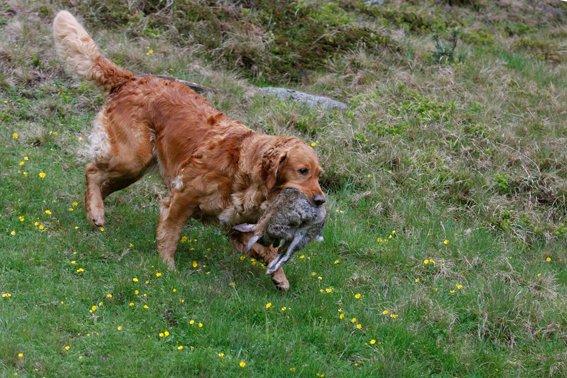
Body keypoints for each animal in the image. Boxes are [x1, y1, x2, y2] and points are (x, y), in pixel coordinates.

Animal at [53, 11, 328, 290]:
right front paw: (166, 266)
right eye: (302, 171)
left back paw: (94, 210)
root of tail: (132, 79)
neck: (243, 170)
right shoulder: (183, 196)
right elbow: (171, 231)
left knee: (103, 183)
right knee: (92, 171)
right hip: (131, 159)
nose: (321, 201)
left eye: (319, 175)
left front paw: (280, 277)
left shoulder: (235, 225)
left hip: (132, 169)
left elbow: (266, 250)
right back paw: (97, 212)